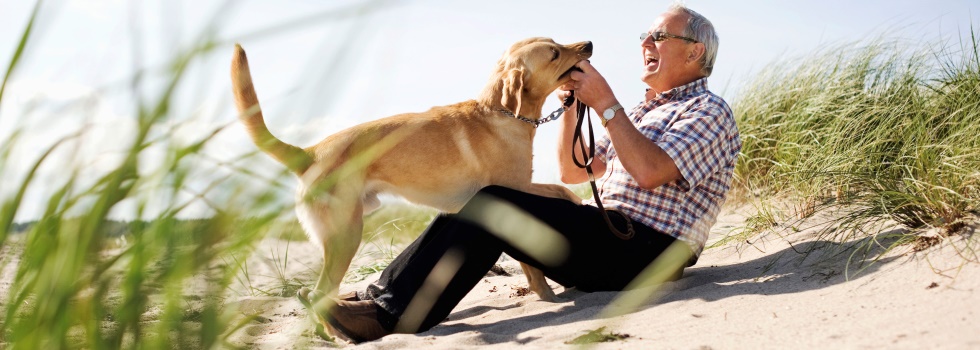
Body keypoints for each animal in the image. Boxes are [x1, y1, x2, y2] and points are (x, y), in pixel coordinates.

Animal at [230, 37, 588, 312]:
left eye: (556, 42)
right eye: (554, 53)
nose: (589, 45)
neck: (500, 113)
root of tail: (310, 152)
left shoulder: (522, 186)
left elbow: (557, 193)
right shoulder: (512, 192)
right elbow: (537, 252)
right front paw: (547, 294)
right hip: (346, 235)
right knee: (319, 293)